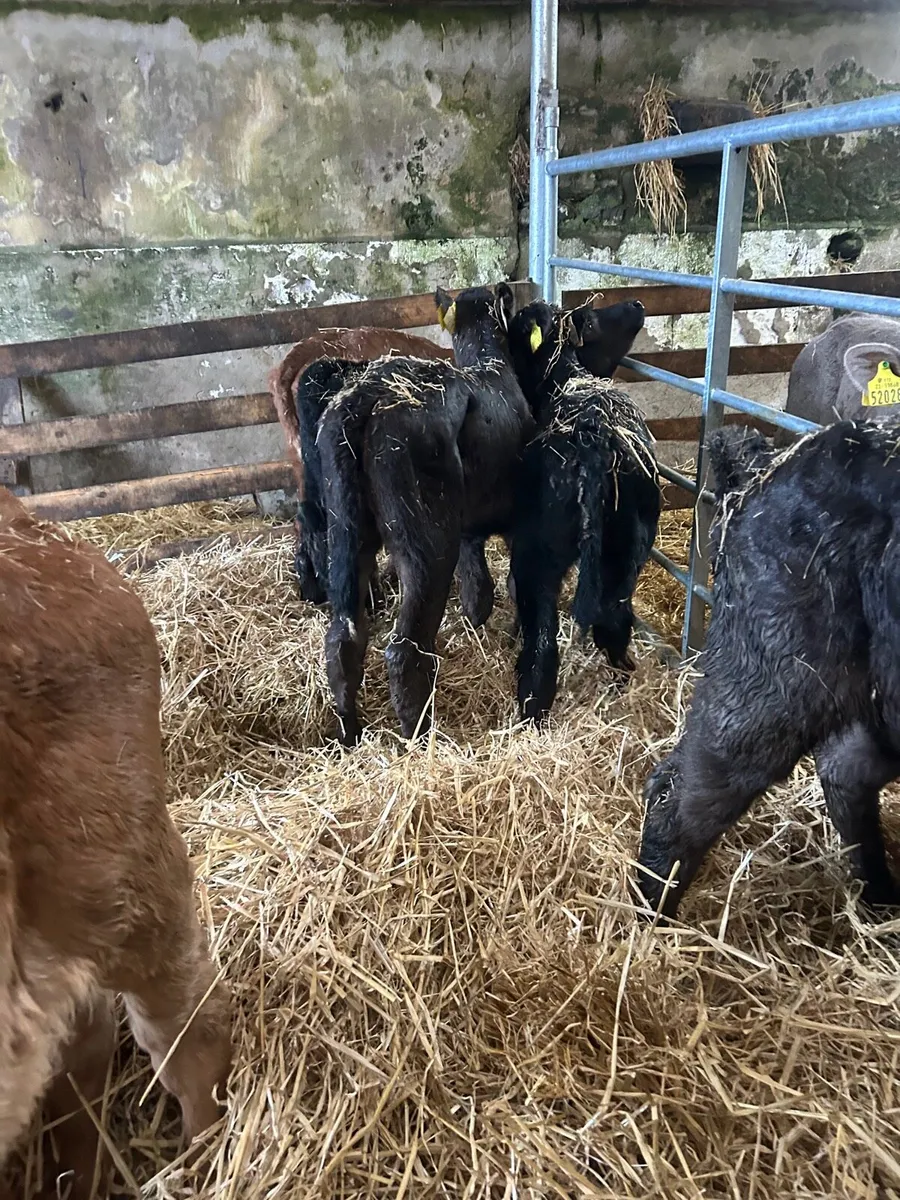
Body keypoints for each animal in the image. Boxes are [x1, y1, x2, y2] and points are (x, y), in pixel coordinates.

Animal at [317, 284, 535, 745]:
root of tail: (367, 397)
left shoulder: (468, 527)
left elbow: (477, 587)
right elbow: (511, 582)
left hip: (345, 529)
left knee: (343, 636)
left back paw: (350, 733)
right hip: (425, 540)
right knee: (405, 648)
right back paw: (419, 734)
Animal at [505, 299, 660, 722]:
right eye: (590, 320)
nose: (637, 303)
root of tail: (594, 442)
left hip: (539, 553)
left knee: (544, 639)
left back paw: (532, 713)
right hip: (623, 552)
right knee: (613, 621)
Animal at [637, 422, 900, 920]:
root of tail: (767, 465)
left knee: (844, 769)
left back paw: (880, 900)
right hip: (775, 670)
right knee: (683, 794)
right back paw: (650, 914)